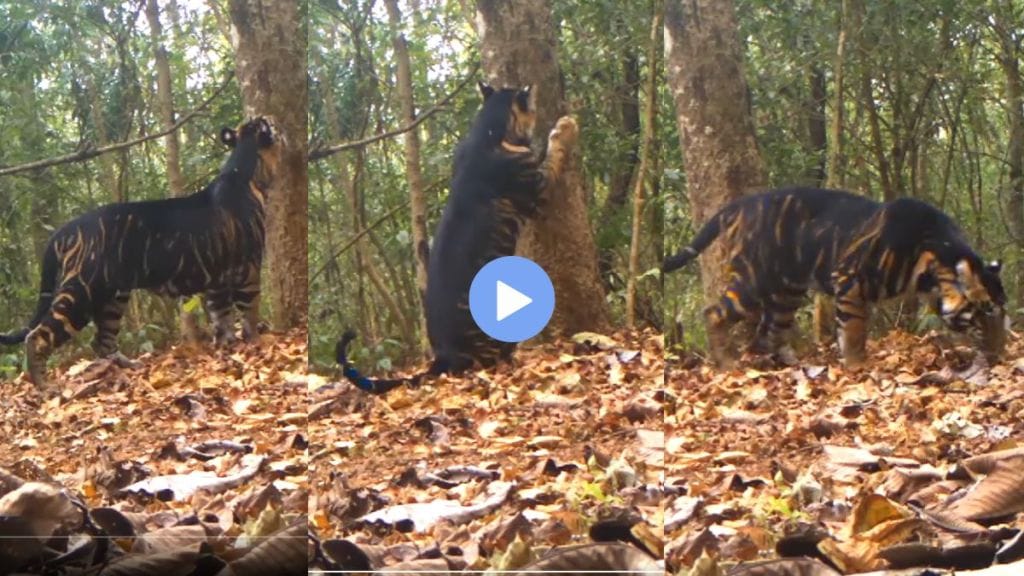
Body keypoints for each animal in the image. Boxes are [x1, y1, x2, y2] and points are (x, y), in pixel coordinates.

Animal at [0, 117, 280, 392]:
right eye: (269, 124)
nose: (276, 124)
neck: (247, 171)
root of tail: (63, 230)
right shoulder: (249, 269)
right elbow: (249, 311)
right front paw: (257, 343)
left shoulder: (217, 280)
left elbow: (221, 317)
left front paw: (228, 347)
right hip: (81, 293)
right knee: (37, 336)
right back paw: (45, 387)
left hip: (113, 298)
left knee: (102, 340)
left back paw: (128, 367)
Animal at [663, 187, 1007, 369]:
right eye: (986, 312)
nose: (1001, 354)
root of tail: (739, 204)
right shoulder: (849, 279)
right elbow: (853, 330)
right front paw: (857, 367)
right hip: (752, 279)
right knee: (714, 313)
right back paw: (727, 363)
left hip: (786, 294)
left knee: (767, 331)